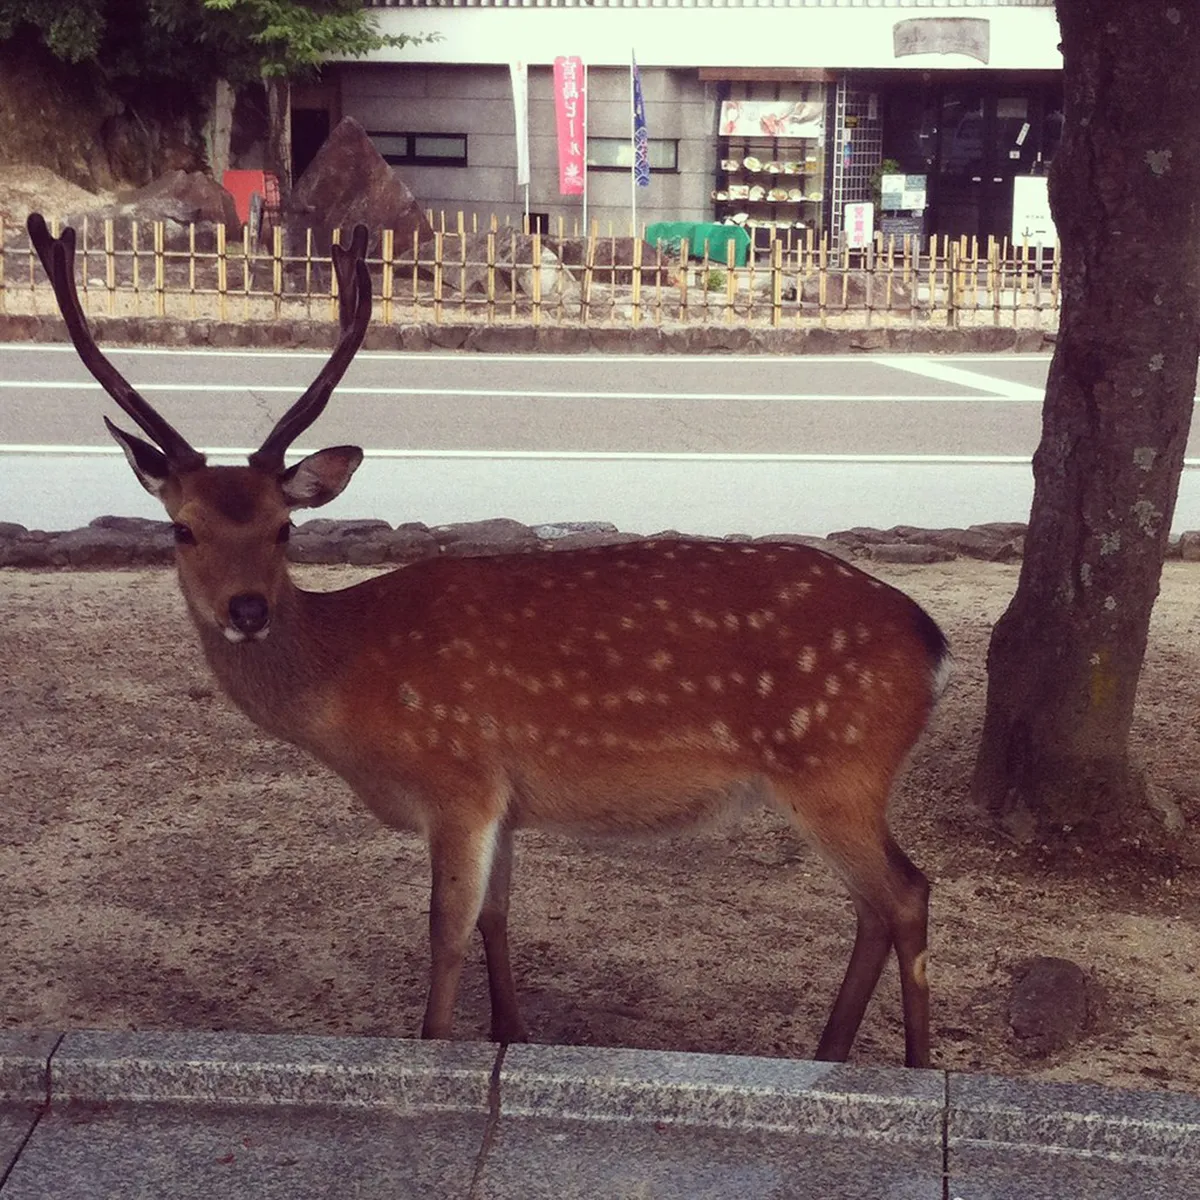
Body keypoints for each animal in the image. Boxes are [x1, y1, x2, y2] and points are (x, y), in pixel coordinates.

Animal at [27, 212, 949, 1068]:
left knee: (906, 892)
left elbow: (444, 934)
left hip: (836, 768)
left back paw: (912, 1065)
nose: (247, 609)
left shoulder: (458, 777)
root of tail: (931, 641)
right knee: (875, 905)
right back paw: (829, 1055)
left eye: (286, 527)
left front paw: (437, 1047)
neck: (350, 690)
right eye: (180, 529)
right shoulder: (504, 795)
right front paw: (513, 1032)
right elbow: (498, 918)